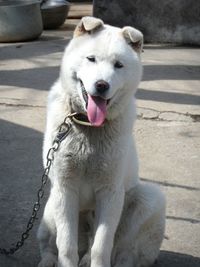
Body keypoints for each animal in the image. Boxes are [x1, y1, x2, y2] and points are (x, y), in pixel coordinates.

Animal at [37, 16, 166, 267]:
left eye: (118, 65)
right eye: (91, 59)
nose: (101, 85)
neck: (89, 126)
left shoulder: (110, 192)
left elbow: (102, 245)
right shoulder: (65, 188)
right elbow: (66, 246)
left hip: (149, 199)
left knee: (122, 249)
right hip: (50, 205)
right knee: (50, 244)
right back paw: (47, 260)